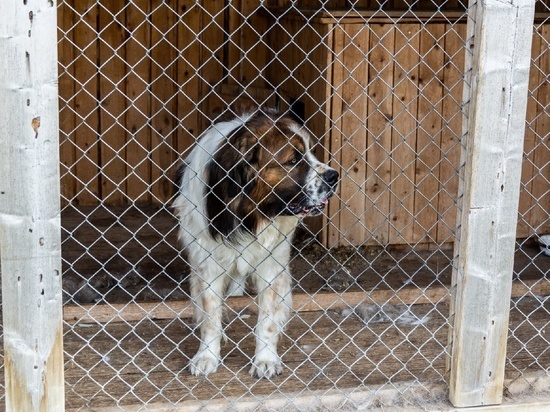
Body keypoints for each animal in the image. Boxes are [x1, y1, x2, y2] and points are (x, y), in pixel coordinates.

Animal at [175, 108, 340, 378]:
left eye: (311, 152)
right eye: (293, 160)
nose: (334, 176)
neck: (250, 215)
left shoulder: (272, 264)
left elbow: (268, 320)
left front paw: (265, 360)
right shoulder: (208, 264)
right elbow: (210, 316)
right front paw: (207, 356)